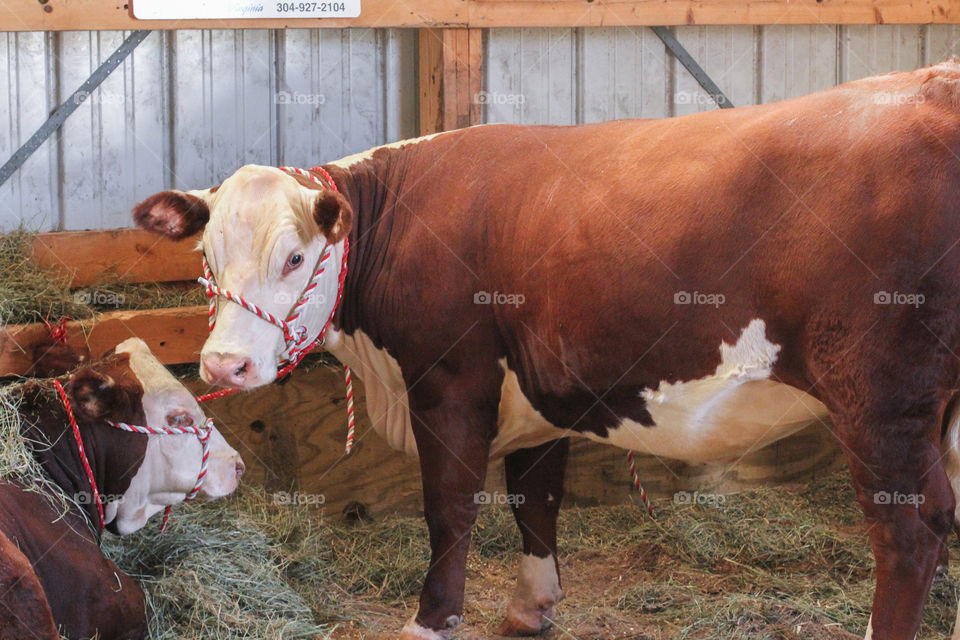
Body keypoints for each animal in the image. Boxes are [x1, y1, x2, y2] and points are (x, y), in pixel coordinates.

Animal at [132, 60, 960, 639]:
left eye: (296, 256)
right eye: (206, 254)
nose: (223, 365)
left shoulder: (449, 381)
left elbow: (451, 509)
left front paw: (431, 617)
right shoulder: (543, 383)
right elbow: (536, 498)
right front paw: (532, 606)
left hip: (882, 399)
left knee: (909, 536)